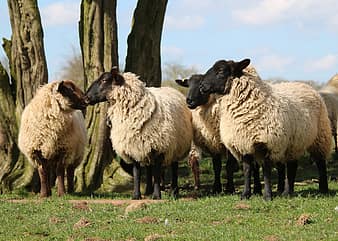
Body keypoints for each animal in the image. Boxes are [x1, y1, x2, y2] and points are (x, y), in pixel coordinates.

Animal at [84, 67, 193, 200]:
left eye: (104, 80)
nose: (86, 97)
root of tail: (172, 89)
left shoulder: (159, 147)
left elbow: (157, 173)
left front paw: (157, 196)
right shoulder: (133, 146)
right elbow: (137, 173)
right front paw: (136, 195)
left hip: (176, 145)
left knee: (174, 166)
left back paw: (174, 191)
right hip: (147, 145)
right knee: (149, 167)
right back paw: (148, 190)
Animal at [186, 59, 332, 201]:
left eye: (221, 71)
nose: (202, 86)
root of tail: (305, 85)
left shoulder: (267, 142)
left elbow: (266, 171)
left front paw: (267, 195)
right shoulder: (243, 143)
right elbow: (247, 170)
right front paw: (245, 194)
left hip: (320, 135)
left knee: (320, 162)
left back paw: (323, 189)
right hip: (294, 142)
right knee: (292, 166)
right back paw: (287, 192)